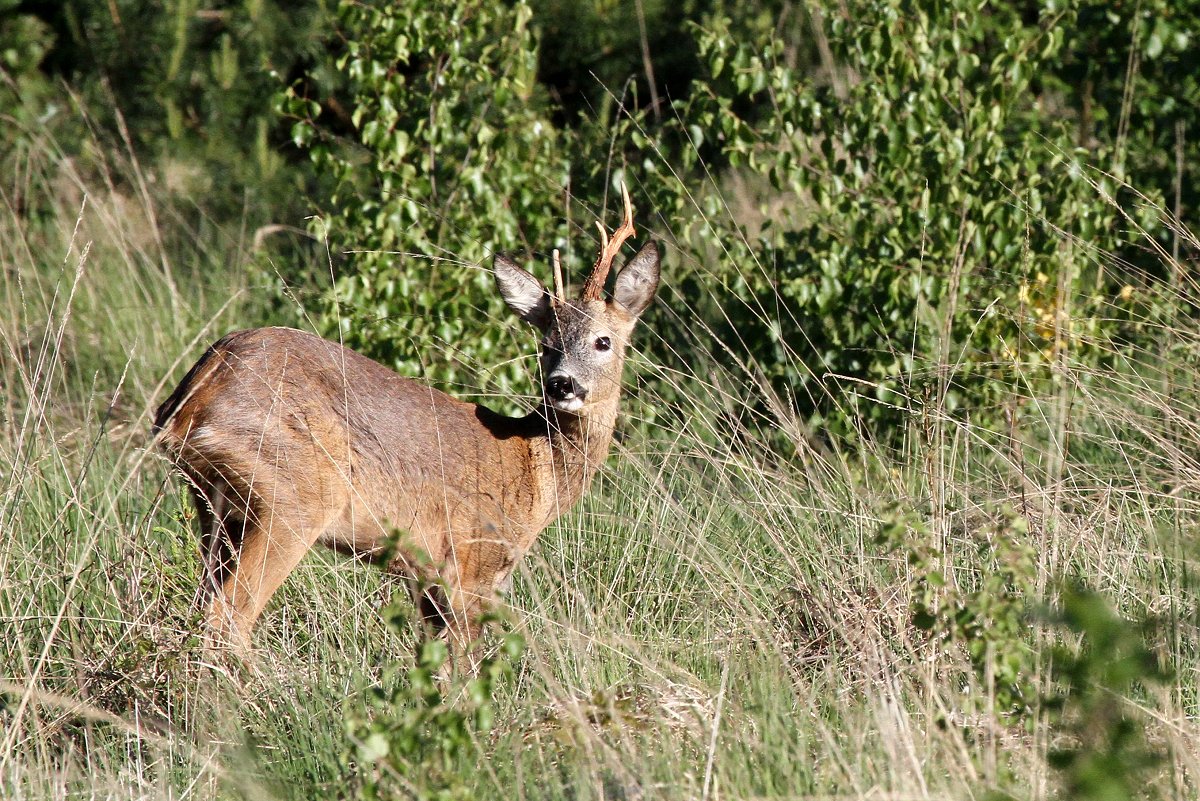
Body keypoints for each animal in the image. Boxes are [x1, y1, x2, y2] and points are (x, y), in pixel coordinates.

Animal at [154, 185, 662, 661]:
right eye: (547, 344)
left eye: (603, 341)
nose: (561, 384)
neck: (537, 472)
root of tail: (192, 395)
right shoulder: (471, 561)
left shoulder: (429, 580)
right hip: (294, 493)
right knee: (228, 617)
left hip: (216, 508)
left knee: (203, 607)